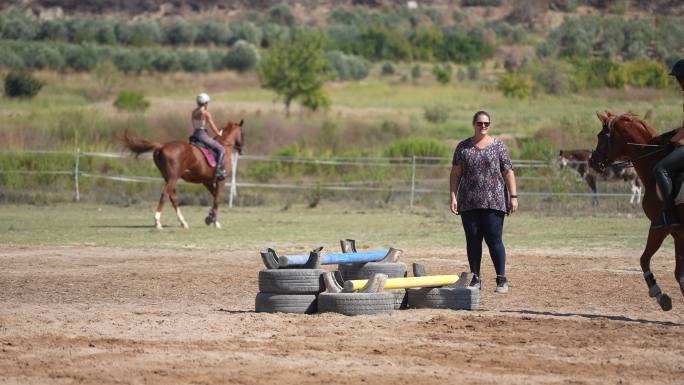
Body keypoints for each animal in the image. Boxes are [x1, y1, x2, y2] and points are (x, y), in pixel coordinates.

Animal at [588, 112, 684, 310]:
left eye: (601, 137)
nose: (592, 161)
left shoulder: (660, 227)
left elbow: (643, 259)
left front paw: (658, 293)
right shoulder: (678, 233)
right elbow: (679, 275)